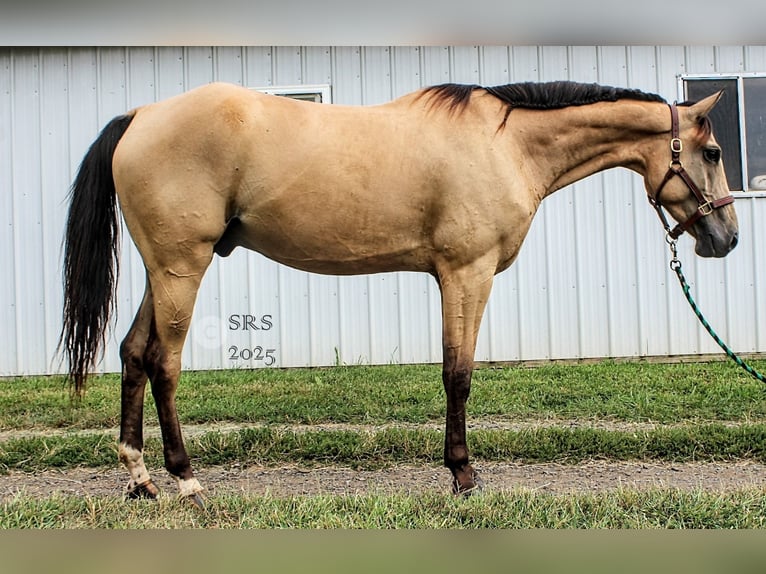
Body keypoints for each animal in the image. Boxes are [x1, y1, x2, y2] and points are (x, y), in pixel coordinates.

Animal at [61, 80, 739, 507]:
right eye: (711, 150)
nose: (726, 237)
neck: (505, 144)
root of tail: (142, 115)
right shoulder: (467, 273)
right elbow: (457, 374)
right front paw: (462, 473)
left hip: (164, 271)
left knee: (133, 355)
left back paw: (140, 479)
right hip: (182, 268)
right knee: (164, 364)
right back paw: (186, 481)